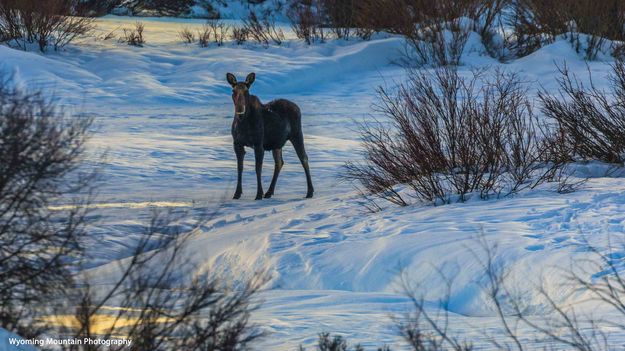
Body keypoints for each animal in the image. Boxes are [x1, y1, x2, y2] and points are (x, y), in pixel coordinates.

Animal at [225, 72, 312, 201]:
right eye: (233, 90)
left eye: (246, 91)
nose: (240, 109)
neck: (242, 122)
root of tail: (297, 107)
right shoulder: (237, 144)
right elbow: (239, 168)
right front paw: (237, 194)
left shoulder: (258, 144)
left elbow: (258, 169)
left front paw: (258, 194)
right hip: (277, 144)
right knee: (279, 162)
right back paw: (269, 192)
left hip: (296, 134)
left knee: (304, 158)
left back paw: (310, 192)